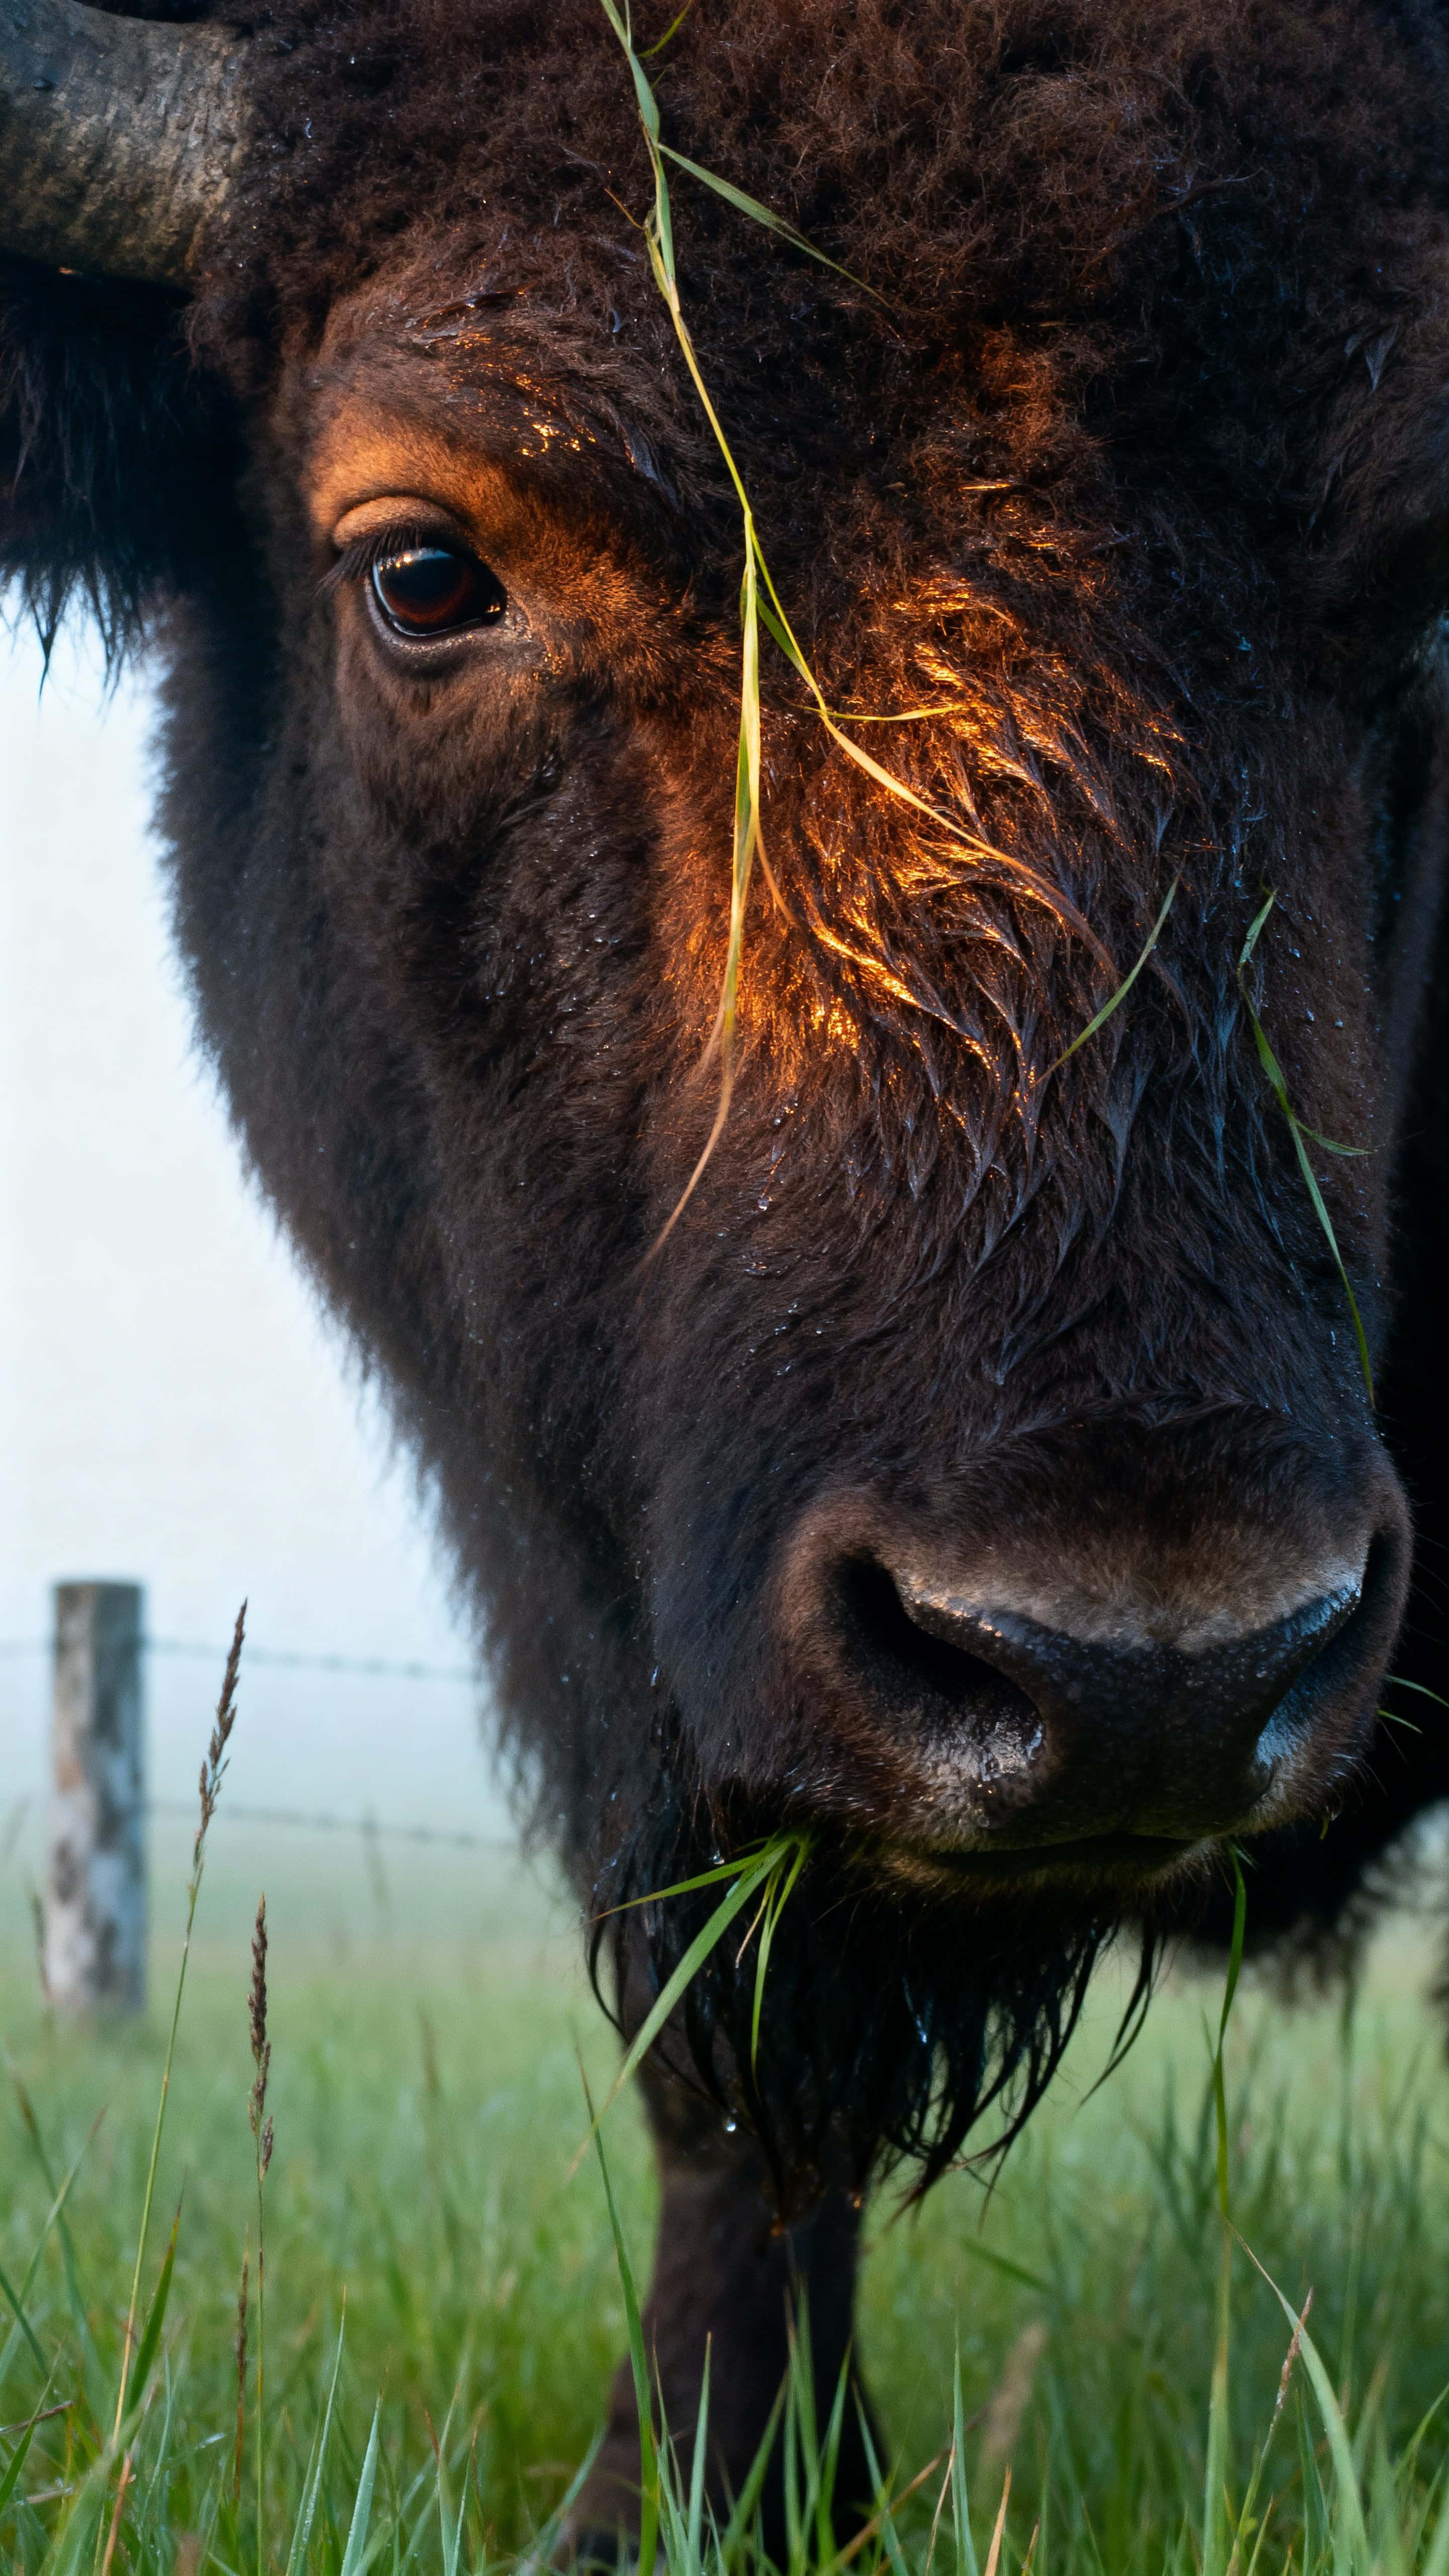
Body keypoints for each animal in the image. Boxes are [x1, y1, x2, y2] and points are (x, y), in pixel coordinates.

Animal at [5, 0, 1449, 2546]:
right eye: (421, 568)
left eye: (1438, 572)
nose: (1145, 1665)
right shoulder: (600, 1605)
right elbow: (728, 2040)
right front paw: (683, 2499)